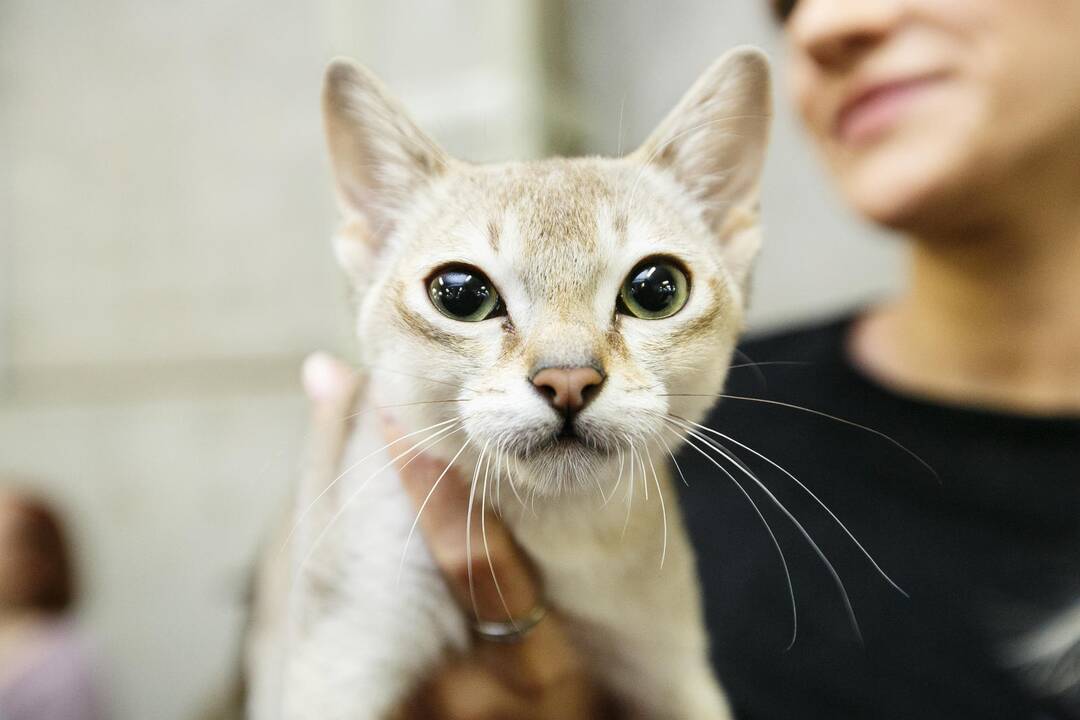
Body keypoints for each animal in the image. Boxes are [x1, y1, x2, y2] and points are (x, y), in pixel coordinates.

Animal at [250, 46, 777, 720]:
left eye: (658, 289)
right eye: (460, 293)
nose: (568, 380)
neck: (555, 536)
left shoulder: (671, 669)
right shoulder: (339, 655)